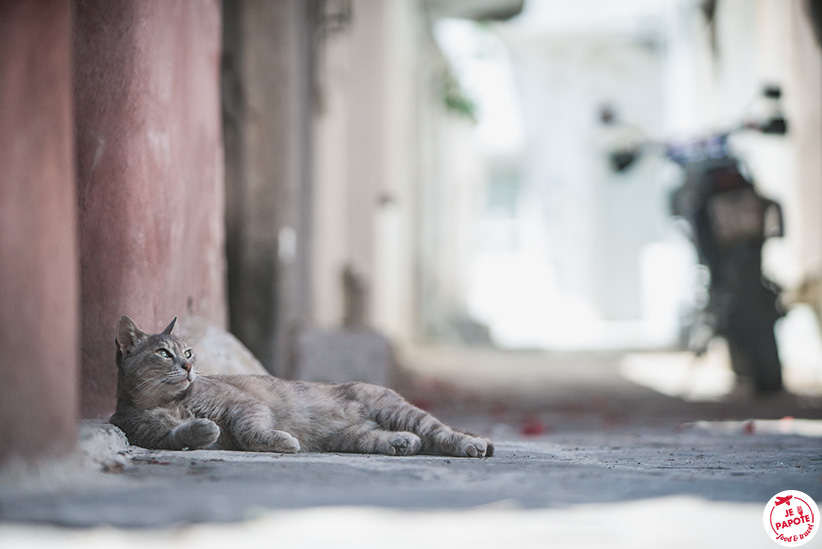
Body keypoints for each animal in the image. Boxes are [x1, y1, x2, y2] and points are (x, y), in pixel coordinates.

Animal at [109, 314, 496, 456]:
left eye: (188, 352)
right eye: (164, 353)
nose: (189, 366)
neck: (169, 403)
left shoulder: (244, 406)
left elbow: (250, 432)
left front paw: (278, 441)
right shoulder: (150, 434)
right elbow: (179, 435)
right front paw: (202, 429)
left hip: (399, 411)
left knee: (442, 432)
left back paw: (474, 445)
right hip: (355, 436)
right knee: (404, 438)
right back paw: (402, 443)